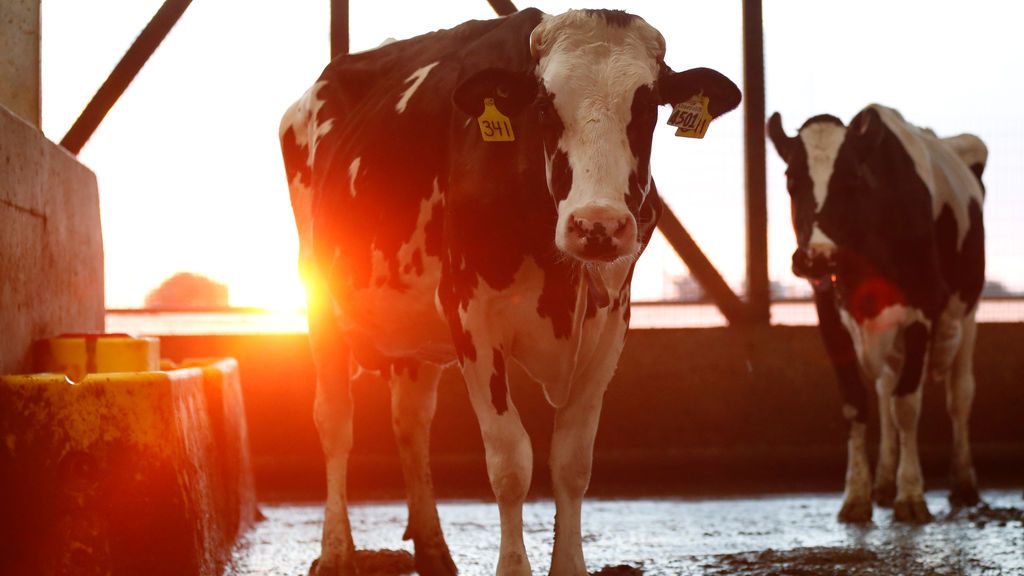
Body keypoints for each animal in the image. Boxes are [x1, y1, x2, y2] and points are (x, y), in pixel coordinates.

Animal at [279, 7, 740, 576]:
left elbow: (572, 462)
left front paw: (570, 565)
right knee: (335, 422)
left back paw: (433, 549)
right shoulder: (471, 317)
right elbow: (510, 461)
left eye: (648, 107)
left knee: (410, 423)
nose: (597, 226)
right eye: (545, 106)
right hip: (318, 298)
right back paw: (336, 551)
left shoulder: (611, 322)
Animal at [767, 104, 986, 523]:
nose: (818, 256)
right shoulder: (829, 315)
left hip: (966, 311)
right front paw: (857, 495)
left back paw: (964, 483)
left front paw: (911, 494)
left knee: (960, 394)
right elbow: (858, 404)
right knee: (885, 390)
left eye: (853, 178)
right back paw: (883, 482)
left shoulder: (922, 311)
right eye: (791, 179)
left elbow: (907, 405)